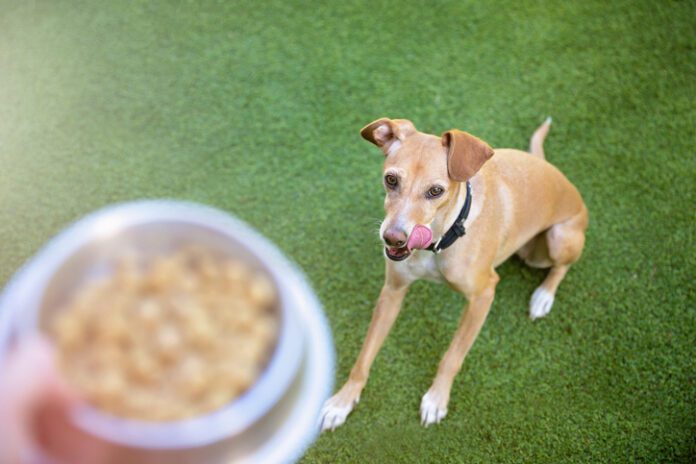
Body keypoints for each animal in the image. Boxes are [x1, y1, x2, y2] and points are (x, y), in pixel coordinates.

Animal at [320, 116, 588, 432]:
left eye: (436, 191)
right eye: (391, 179)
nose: (393, 239)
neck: (439, 240)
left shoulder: (483, 295)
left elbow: (452, 357)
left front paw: (437, 398)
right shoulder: (393, 291)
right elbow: (365, 354)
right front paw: (343, 400)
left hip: (556, 241)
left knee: (561, 268)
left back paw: (543, 296)